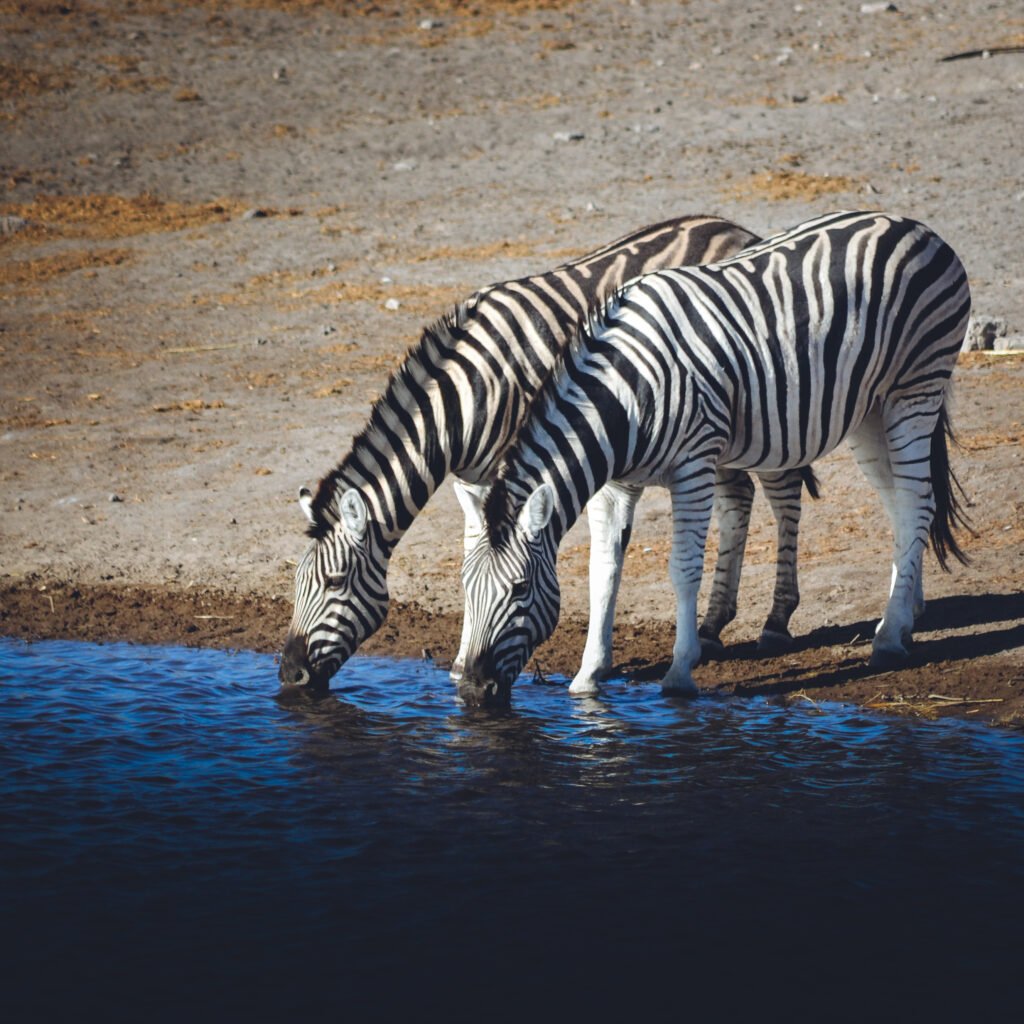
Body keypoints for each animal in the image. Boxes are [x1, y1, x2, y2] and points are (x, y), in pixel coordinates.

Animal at [278, 215, 815, 693]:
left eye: (334, 582)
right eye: (297, 584)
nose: (289, 675)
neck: (466, 394)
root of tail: (737, 229)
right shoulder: (474, 480)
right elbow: (474, 553)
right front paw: (463, 660)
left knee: (781, 486)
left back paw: (774, 622)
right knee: (738, 495)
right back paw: (713, 626)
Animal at [456, 210, 972, 707]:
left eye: (520, 589)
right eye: (464, 587)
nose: (472, 691)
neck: (624, 395)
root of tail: (914, 227)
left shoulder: (694, 465)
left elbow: (683, 568)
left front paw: (681, 671)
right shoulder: (616, 484)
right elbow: (603, 570)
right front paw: (589, 676)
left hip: (915, 388)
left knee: (916, 502)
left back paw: (887, 640)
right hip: (869, 409)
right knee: (904, 506)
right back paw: (905, 618)